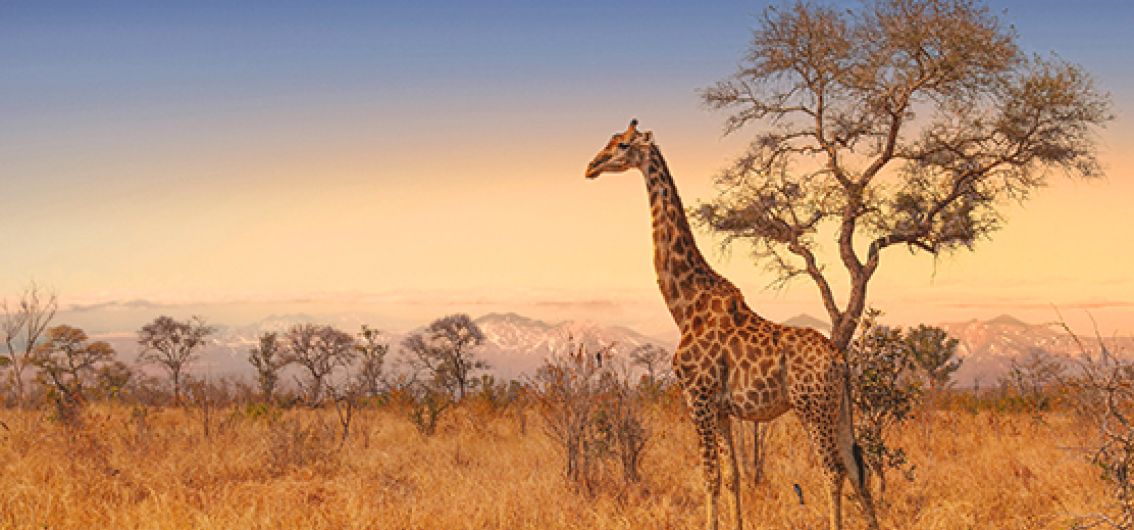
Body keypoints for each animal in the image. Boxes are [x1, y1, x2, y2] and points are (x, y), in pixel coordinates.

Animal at [584, 120, 880, 530]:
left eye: (623, 145)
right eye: (610, 141)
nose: (591, 166)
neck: (684, 304)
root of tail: (840, 359)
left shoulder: (698, 396)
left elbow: (710, 476)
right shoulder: (721, 408)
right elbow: (733, 476)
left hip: (812, 406)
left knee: (832, 471)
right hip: (837, 408)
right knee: (856, 468)